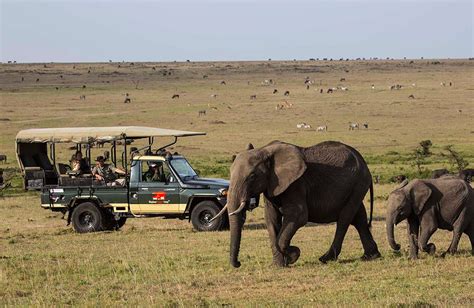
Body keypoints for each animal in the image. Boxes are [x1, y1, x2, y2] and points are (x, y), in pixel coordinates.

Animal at [212, 140, 382, 268]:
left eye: (252, 176)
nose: (238, 263)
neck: (265, 151)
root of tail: (364, 163)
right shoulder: (271, 186)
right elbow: (271, 219)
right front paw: (278, 265)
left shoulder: (296, 184)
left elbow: (298, 216)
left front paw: (293, 255)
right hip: (355, 186)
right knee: (359, 217)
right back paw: (370, 256)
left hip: (358, 183)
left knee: (345, 219)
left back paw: (326, 258)